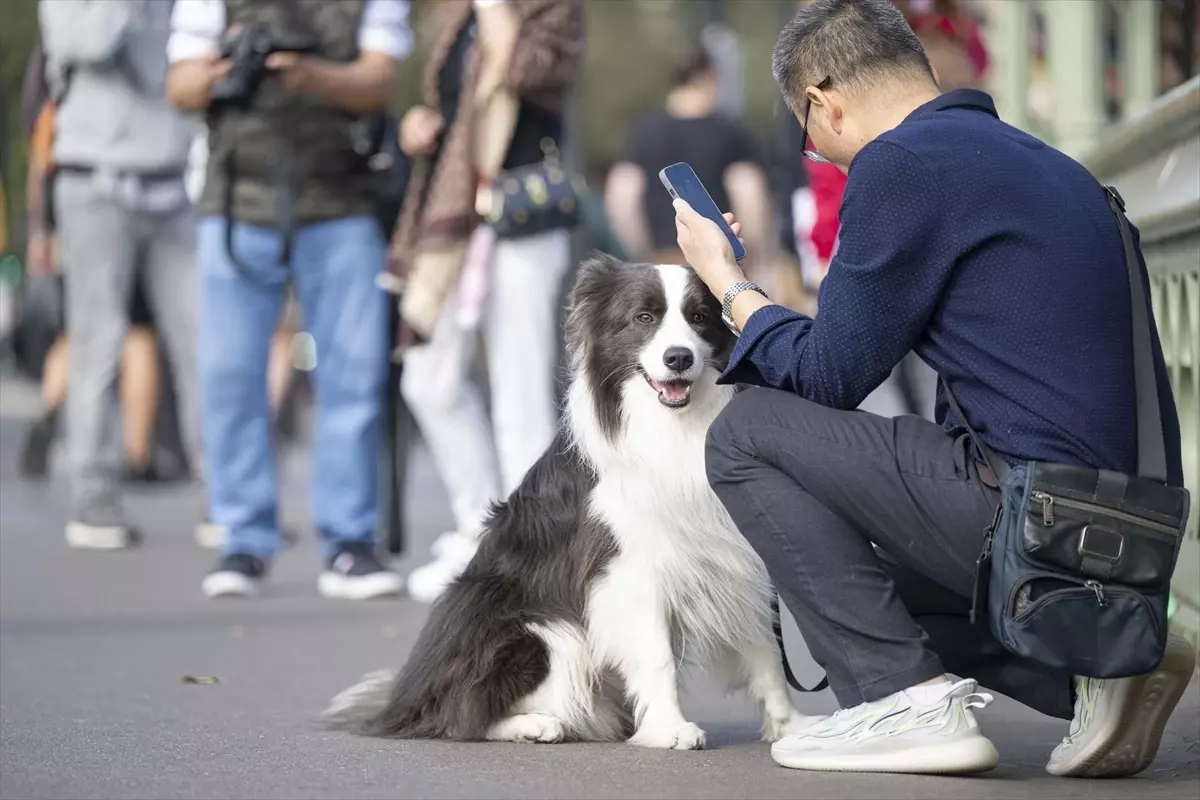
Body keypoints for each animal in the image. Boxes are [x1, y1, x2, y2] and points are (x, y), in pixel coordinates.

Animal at [328, 256, 816, 753]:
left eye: (700, 317)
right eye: (644, 318)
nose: (677, 357)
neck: (673, 425)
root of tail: (406, 703)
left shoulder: (732, 555)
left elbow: (766, 653)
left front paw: (791, 728)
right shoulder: (627, 568)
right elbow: (656, 654)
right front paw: (669, 729)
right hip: (541, 631)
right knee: (466, 713)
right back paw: (535, 725)